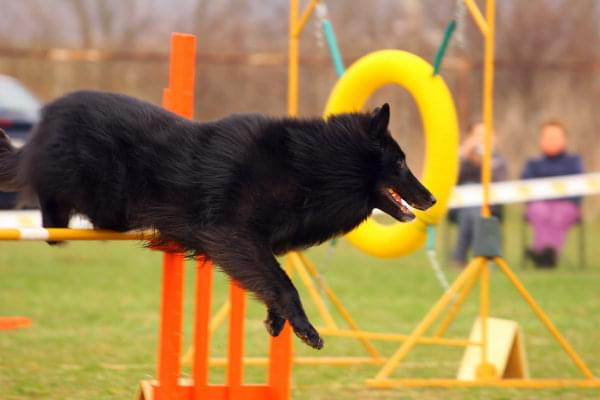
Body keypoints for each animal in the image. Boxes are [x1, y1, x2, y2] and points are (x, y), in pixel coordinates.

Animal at [0, 92, 434, 348]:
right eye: (400, 163)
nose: (431, 198)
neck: (310, 165)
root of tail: (47, 118)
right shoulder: (233, 235)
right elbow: (283, 281)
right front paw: (304, 327)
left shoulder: (253, 245)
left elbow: (270, 280)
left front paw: (276, 319)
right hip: (98, 191)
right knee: (43, 189)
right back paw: (52, 226)